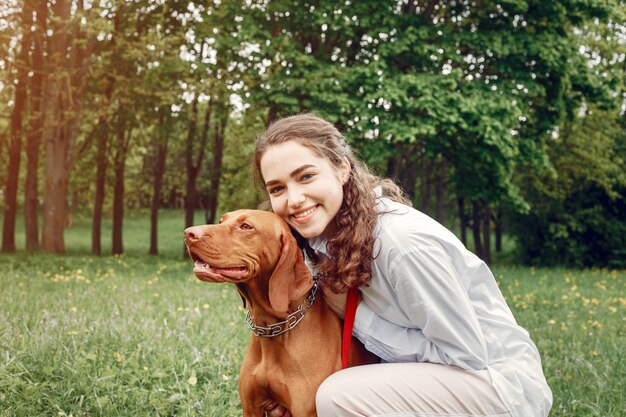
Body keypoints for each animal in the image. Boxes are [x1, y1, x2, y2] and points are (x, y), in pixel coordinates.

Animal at [180, 210, 376, 414]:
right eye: (221, 221)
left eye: (246, 226)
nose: (189, 234)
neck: (272, 329)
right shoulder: (250, 408)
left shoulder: (306, 411)